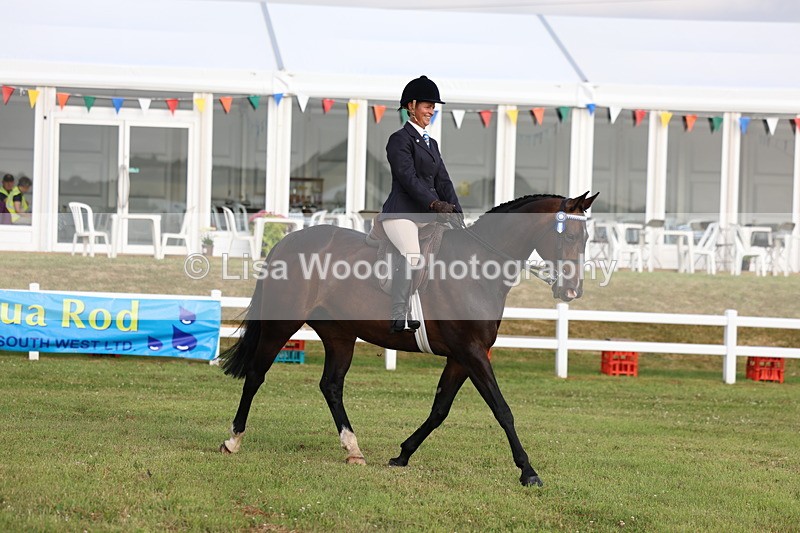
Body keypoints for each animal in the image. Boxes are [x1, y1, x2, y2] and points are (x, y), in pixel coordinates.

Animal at [218, 191, 599, 486]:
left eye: (586, 239)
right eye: (568, 237)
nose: (572, 291)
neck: (478, 266)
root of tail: (287, 241)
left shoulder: (461, 356)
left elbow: (440, 409)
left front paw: (402, 454)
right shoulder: (472, 352)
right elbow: (502, 410)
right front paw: (528, 471)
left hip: (339, 334)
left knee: (331, 385)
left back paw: (353, 450)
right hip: (282, 323)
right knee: (256, 375)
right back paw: (233, 440)